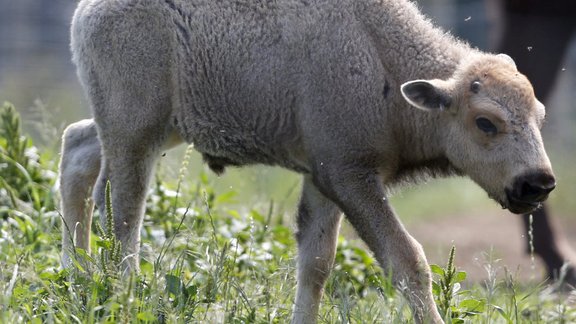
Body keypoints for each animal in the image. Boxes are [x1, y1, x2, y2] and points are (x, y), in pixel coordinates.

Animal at [60, 0, 556, 322]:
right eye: (486, 122)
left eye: (540, 114)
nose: (538, 183)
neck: (383, 62)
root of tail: (88, 10)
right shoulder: (351, 177)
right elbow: (407, 260)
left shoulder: (323, 180)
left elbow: (316, 263)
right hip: (135, 133)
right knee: (122, 213)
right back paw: (119, 297)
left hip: (150, 129)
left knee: (76, 151)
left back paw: (74, 280)